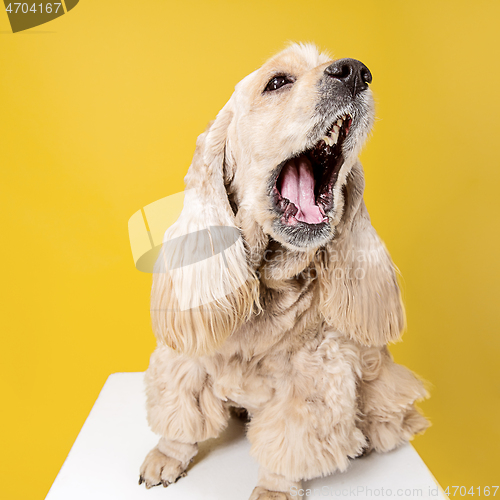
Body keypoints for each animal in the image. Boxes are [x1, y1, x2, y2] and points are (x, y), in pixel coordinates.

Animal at [139, 44, 428, 500]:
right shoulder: (190, 354)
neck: (269, 281)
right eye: (277, 82)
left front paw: (275, 489)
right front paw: (168, 454)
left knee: (393, 409)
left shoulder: (314, 374)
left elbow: (291, 443)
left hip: (379, 377)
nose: (356, 72)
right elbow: (181, 409)